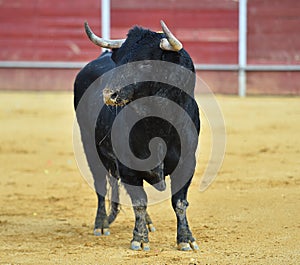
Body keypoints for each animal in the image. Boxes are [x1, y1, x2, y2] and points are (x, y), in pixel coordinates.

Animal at [74, 21, 202, 250]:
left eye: (145, 64)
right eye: (119, 62)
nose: (109, 94)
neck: (157, 124)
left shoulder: (187, 163)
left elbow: (179, 202)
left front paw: (186, 239)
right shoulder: (127, 166)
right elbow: (139, 201)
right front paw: (139, 239)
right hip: (89, 145)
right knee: (100, 184)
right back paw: (101, 224)